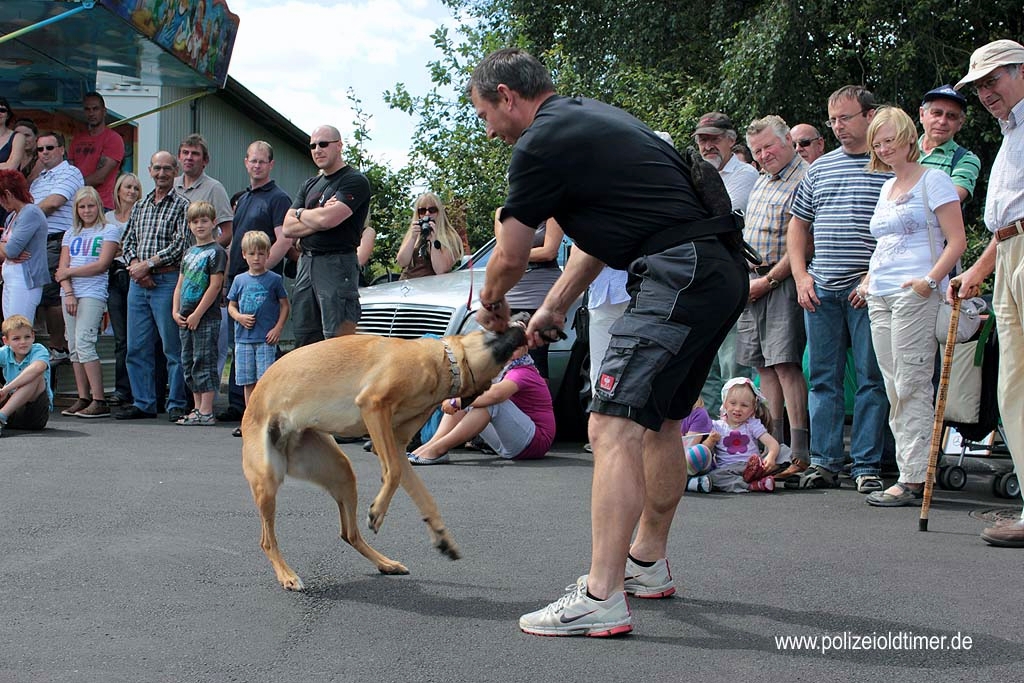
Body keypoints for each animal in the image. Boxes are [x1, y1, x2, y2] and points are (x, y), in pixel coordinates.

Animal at [242, 325, 524, 589]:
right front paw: (377, 512)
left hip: (341, 472)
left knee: (349, 534)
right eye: (495, 331)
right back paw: (287, 575)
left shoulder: (397, 446)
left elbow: (424, 497)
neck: (441, 363)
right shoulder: (374, 406)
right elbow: (394, 472)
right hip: (267, 480)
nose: (523, 323)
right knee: (266, 540)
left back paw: (385, 563)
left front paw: (442, 537)